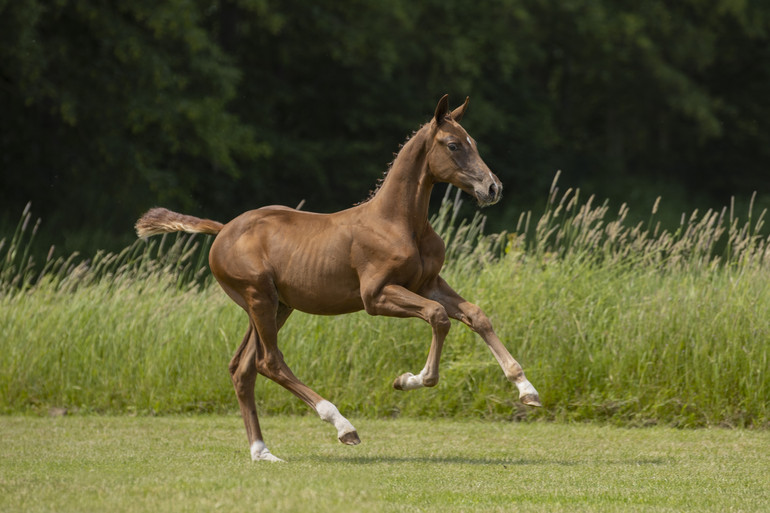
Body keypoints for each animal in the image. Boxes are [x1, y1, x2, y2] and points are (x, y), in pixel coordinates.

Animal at [134, 95, 540, 460]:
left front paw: (526, 389)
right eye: (454, 145)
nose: (492, 188)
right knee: (269, 362)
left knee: (242, 368)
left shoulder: (428, 284)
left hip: (276, 306)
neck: (399, 222)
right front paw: (411, 380)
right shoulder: (376, 296)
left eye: (474, 144)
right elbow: (438, 318)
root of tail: (221, 231)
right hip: (260, 299)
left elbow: (476, 315)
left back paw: (262, 451)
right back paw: (342, 426)